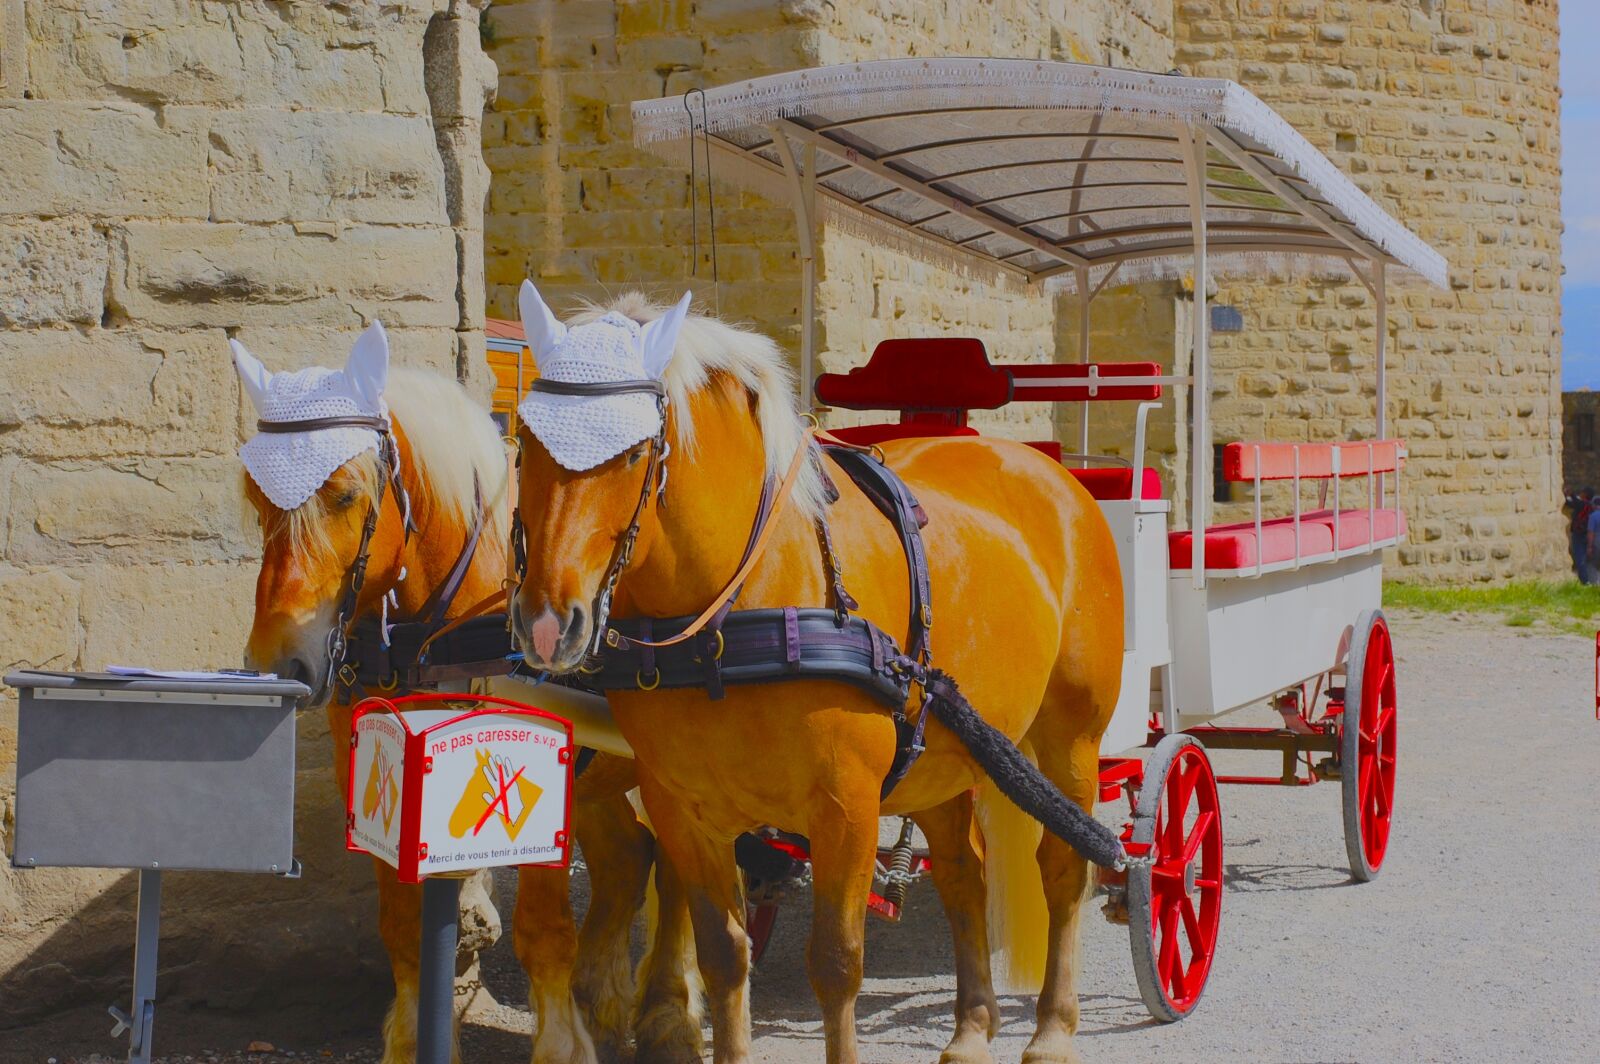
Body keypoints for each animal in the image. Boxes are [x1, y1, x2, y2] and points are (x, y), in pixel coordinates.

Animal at [233, 323, 700, 1064]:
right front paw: (411, 1036)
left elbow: (543, 929)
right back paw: (604, 997)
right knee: (630, 860)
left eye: (345, 494)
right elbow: (402, 924)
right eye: (255, 498)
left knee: (681, 872)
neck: (435, 628)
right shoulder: (380, 768)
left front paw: (560, 1043)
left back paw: (668, 1015)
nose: (282, 663)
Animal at [509, 286, 1125, 1064]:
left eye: (637, 452)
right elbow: (724, 957)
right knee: (964, 875)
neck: (732, 616)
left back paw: (1051, 1029)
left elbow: (835, 964)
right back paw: (971, 1027)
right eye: (523, 440)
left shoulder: (846, 807)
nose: (545, 624)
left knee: (1066, 869)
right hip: (940, 753)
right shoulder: (684, 810)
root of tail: (1052, 473)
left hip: (1070, 739)